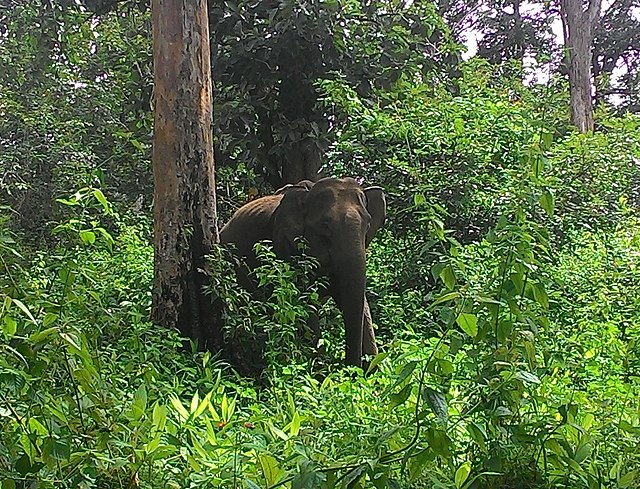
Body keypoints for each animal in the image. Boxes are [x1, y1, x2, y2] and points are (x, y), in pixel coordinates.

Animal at [220, 176, 384, 366]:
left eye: (368, 224)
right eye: (325, 225)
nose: (352, 369)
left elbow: (359, 303)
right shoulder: (286, 247)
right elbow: (305, 303)